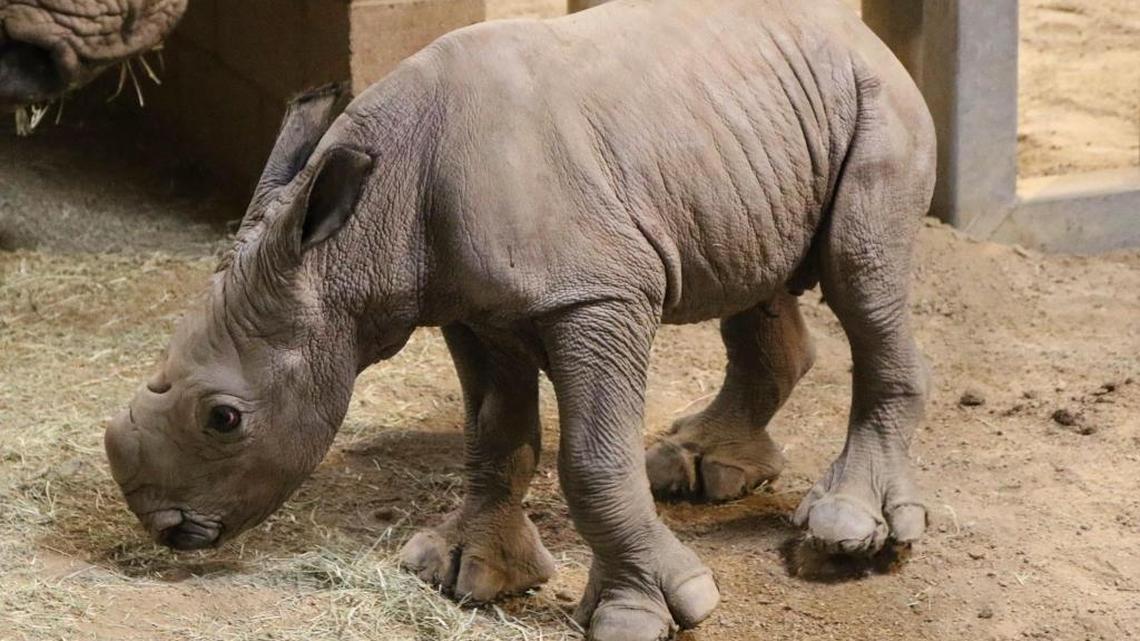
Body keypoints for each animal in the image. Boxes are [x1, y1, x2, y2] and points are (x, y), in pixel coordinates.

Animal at [103, 1, 935, 639]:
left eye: (223, 418)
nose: (163, 526)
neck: (355, 240)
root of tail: (856, 29)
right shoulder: (470, 306)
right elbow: (496, 433)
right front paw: (463, 573)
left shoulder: (596, 295)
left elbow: (592, 461)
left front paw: (648, 613)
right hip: (746, 134)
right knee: (754, 274)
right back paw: (696, 469)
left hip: (877, 106)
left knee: (863, 275)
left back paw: (844, 531)